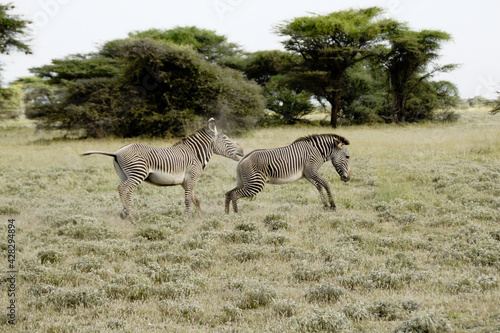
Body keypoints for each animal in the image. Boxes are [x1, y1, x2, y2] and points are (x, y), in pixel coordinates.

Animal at [82, 118, 242, 222]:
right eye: (225, 138)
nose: (242, 150)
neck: (195, 154)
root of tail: (117, 152)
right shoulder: (191, 178)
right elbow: (188, 200)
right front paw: (188, 219)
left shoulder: (186, 181)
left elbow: (195, 199)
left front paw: (201, 218)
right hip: (138, 172)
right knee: (123, 189)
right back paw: (131, 218)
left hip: (125, 174)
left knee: (127, 192)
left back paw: (126, 214)